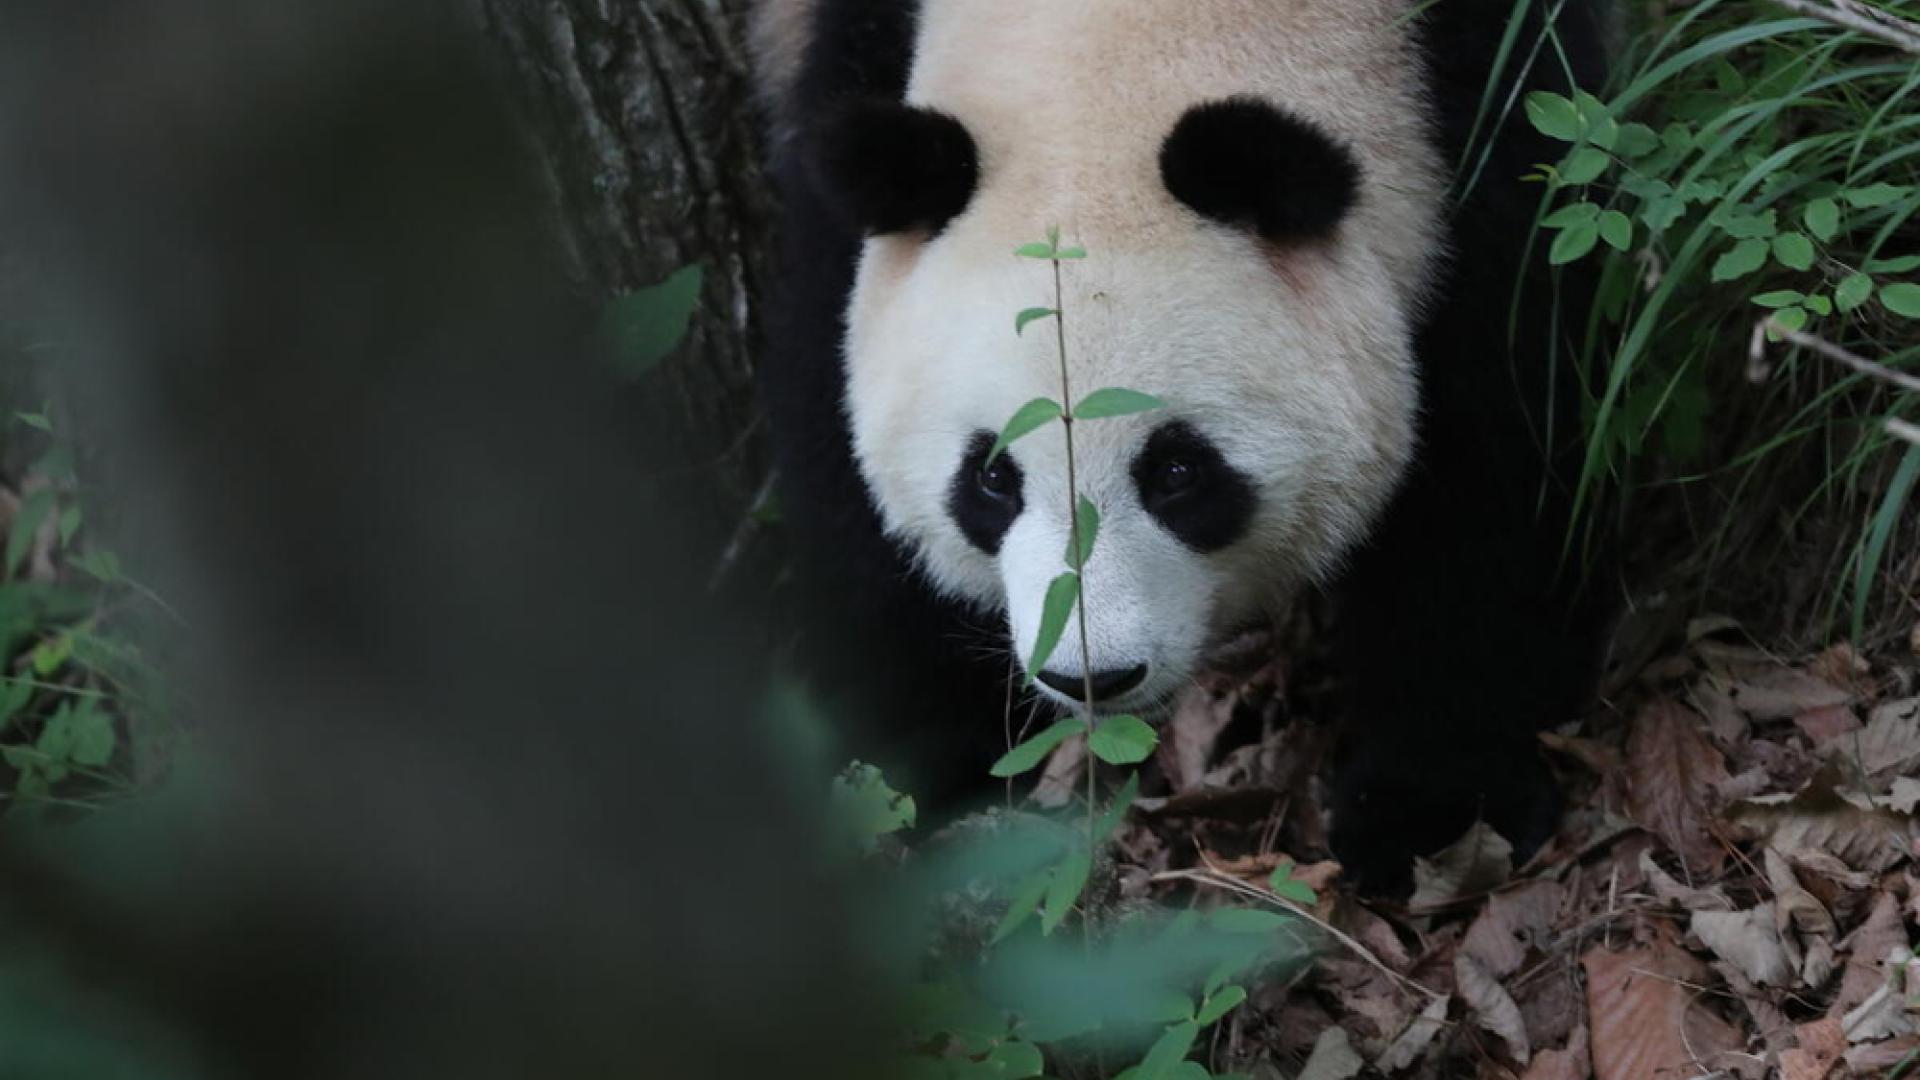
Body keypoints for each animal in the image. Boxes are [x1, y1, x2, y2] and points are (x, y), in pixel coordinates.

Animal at [751, 0, 1613, 889]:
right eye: (991, 477)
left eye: (1176, 472)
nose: (1093, 677)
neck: (1108, 39)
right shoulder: (852, 66)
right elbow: (838, 443)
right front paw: (904, 776)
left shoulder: (1486, 99)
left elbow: (1498, 452)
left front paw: (1432, 810)